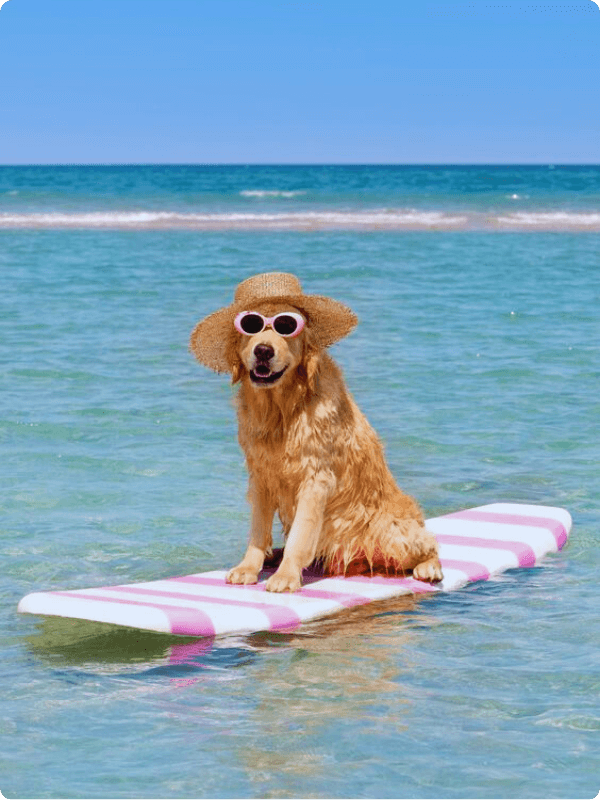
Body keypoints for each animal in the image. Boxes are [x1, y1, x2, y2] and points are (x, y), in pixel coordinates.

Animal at [190, 276, 442, 592]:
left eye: (286, 325)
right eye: (251, 325)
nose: (263, 350)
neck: (282, 411)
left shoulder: (315, 478)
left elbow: (301, 534)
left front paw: (286, 576)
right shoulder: (261, 475)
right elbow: (258, 530)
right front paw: (249, 566)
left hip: (392, 531)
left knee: (429, 545)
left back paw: (429, 567)